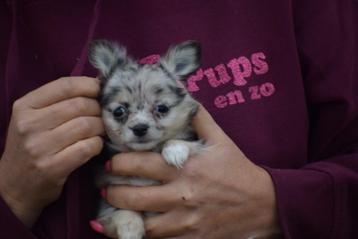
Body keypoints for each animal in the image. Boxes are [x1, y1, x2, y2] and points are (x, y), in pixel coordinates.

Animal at [88, 40, 203, 238]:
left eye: (162, 108)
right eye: (119, 111)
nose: (140, 128)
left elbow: (184, 142)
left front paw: (174, 151)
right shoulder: (110, 192)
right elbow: (123, 211)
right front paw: (130, 231)